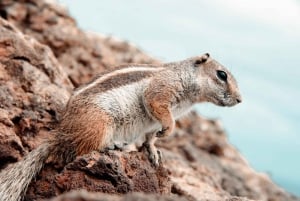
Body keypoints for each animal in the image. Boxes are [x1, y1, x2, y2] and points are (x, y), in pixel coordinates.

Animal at [0, 52, 241, 200]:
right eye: (221, 75)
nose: (240, 100)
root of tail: (60, 133)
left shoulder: (153, 123)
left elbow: (151, 136)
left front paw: (153, 150)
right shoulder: (160, 94)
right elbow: (157, 106)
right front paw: (168, 131)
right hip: (98, 124)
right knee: (80, 149)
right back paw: (111, 146)